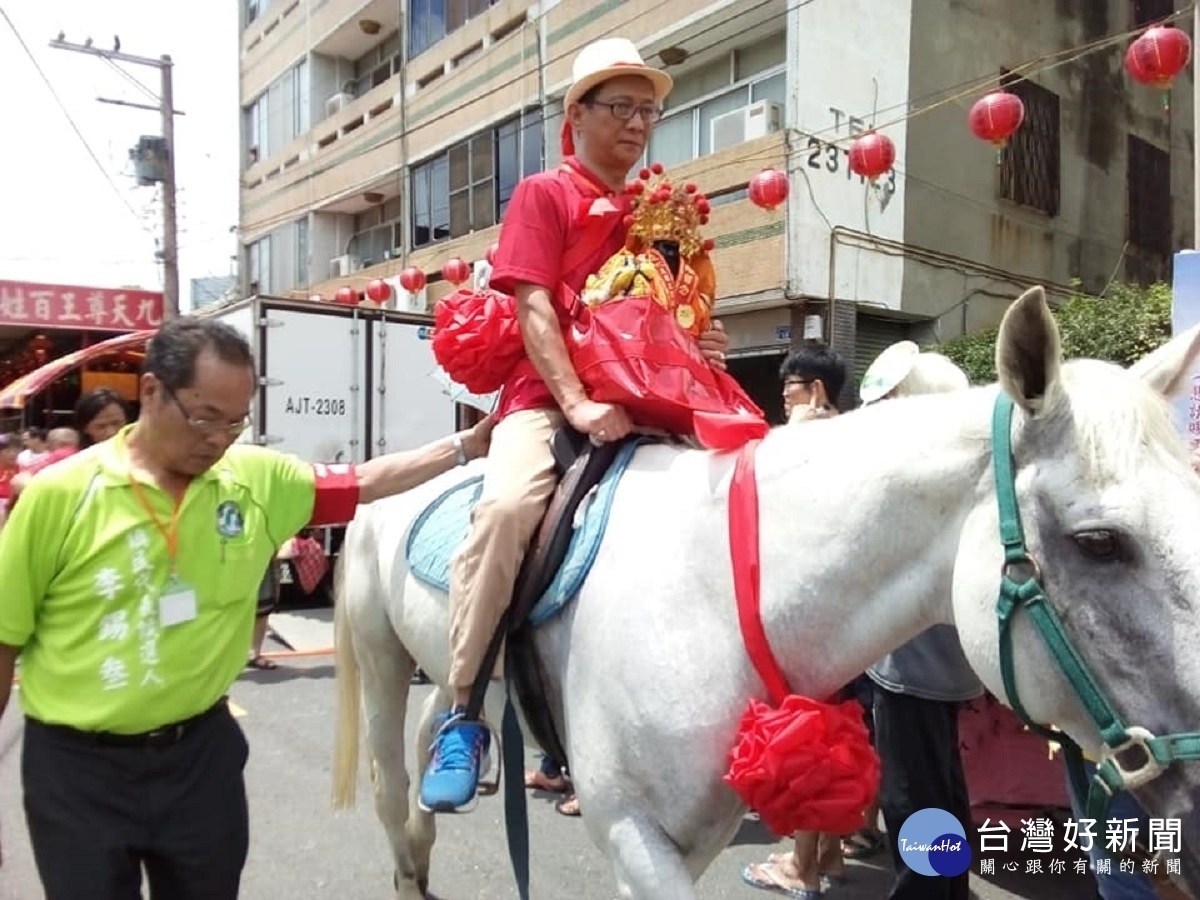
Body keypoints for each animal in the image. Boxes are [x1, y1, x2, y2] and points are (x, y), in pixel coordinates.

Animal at [333, 290, 1200, 900]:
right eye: (1099, 542)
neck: (717, 600)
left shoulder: (697, 830)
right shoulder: (633, 833)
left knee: (438, 712)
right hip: (380, 653)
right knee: (389, 769)